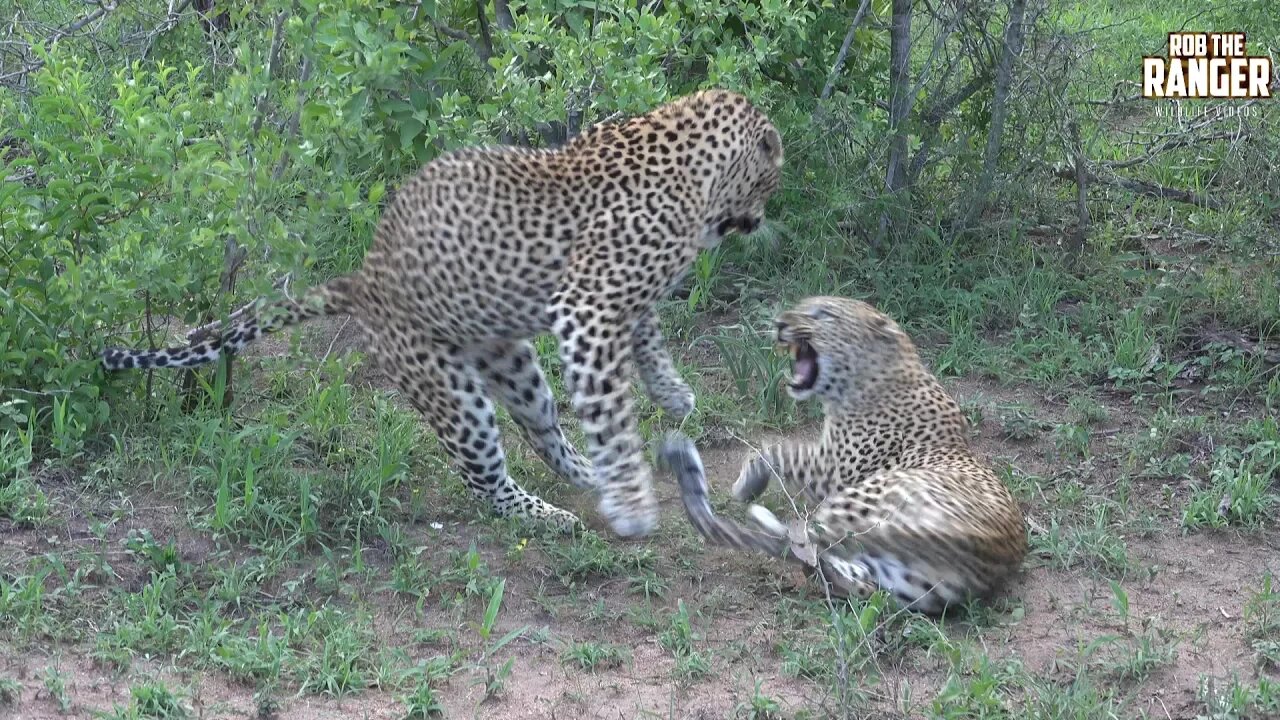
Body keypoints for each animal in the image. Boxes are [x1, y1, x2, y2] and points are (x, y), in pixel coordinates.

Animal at [102, 89, 778, 535]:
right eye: (770, 179)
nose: (763, 217)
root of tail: (365, 279)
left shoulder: (617, 301)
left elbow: (648, 337)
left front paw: (672, 394)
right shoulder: (587, 306)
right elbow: (611, 408)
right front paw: (635, 508)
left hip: (513, 364)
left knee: (542, 432)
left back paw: (589, 477)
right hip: (450, 392)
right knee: (482, 477)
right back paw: (552, 513)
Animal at [660, 294, 1029, 607]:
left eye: (821, 314)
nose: (780, 323)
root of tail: (990, 546)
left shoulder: (832, 472)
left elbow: (776, 448)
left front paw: (747, 484)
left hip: (864, 499)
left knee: (804, 542)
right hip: (886, 574)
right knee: (831, 569)